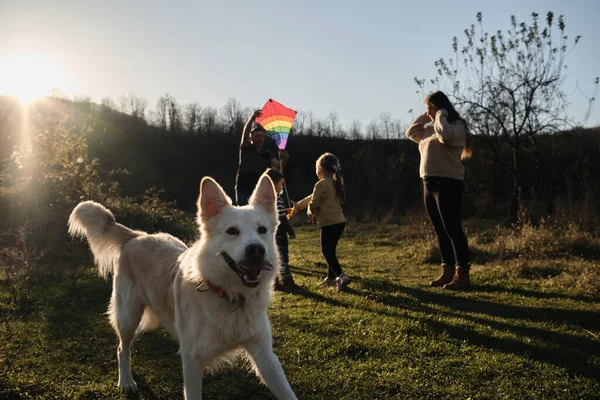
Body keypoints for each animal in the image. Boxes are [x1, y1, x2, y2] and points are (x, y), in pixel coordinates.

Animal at [68, 176, 298, 400]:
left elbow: (287, 392)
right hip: (128, 317)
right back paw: (126, 381)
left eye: (262, 230)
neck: (228, 295)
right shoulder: (192, 361)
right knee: (122, 349)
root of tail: (138, 235)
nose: (256, 250)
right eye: (232, 231)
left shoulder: (265, 356)